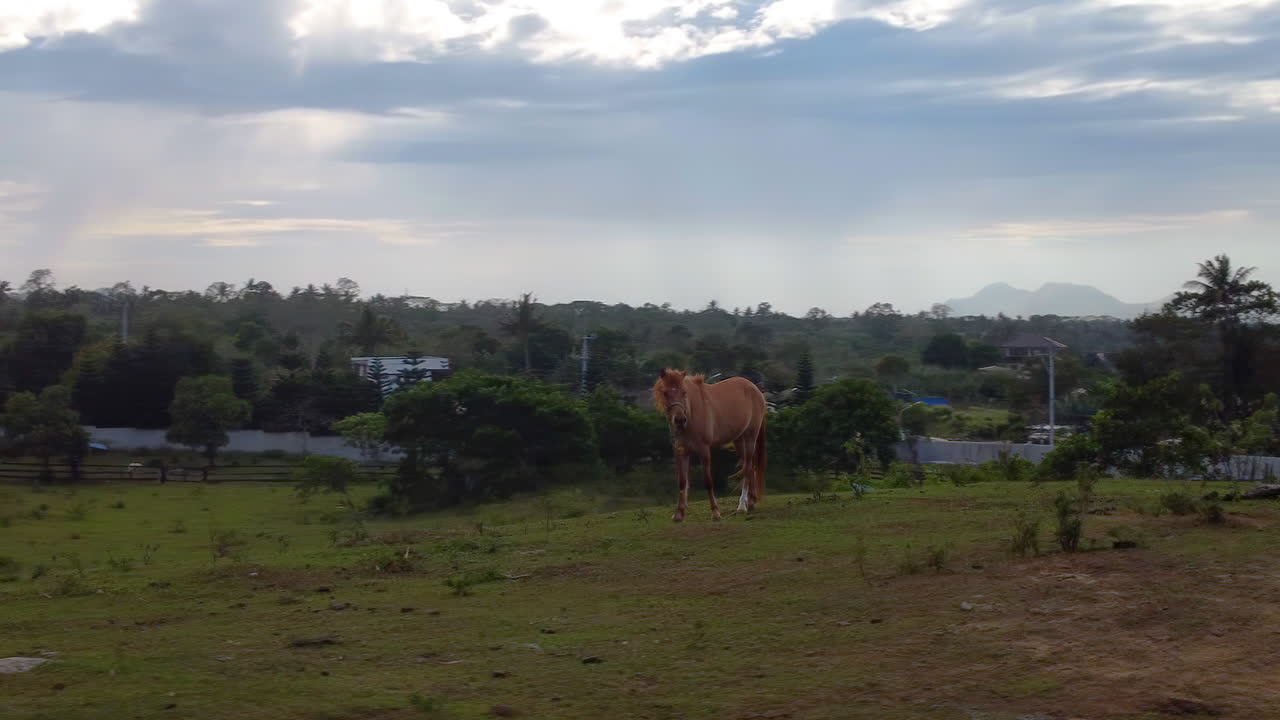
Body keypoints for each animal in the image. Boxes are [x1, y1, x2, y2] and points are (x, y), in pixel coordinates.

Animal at [653, 368, 768, 522]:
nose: (680, 420)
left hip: (750, 436)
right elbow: (682, 482)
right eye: (665, 393)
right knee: (749, 467)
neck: (692, 412)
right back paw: (751, 501)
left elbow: (708, 481)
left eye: (684, 392)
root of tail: (755, 389)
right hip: (738, 440)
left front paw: (715, 512)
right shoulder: (681, 451)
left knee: (748, 467)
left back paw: (742, 506)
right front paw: (679, 513)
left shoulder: (704, 450)